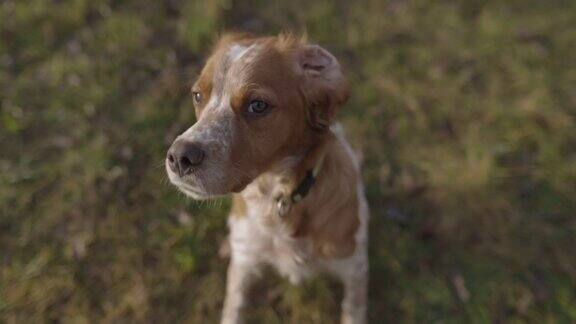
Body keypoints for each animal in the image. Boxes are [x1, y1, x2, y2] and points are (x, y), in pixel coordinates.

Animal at [165, 33, 368, 324]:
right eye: (197, 95)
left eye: (258, 105)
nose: (180, 157)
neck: (275, 196)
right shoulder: (244, 263)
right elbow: (233, 308)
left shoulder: (354, 267)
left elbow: (353, 310)